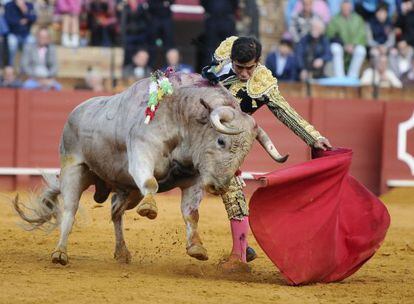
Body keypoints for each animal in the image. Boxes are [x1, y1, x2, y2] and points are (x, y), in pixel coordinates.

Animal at [12, 72, 284, 264]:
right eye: (221, 141)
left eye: (245, 153)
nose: (220, 186)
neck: (183, 118)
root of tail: (76, 111)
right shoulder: (142, 152)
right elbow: (150, 182)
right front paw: (150, 208)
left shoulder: (194, 180)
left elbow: (191, 214)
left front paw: (197, 248)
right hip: (74, 168)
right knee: (69, 211)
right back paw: (60, 253)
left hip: (126, 189)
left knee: (116, 212)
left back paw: (122, 252)